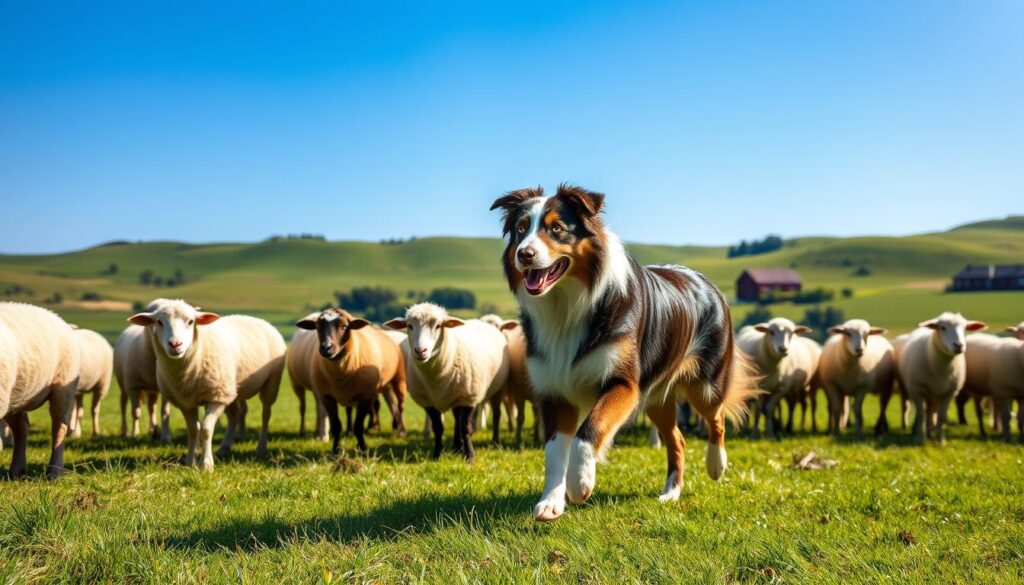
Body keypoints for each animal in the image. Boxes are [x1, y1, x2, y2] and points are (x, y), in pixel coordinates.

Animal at [0, 305, 80, 477]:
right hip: (15, 395)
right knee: (21, 428)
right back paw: (16, 471)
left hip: (63, 387)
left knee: (59, 428)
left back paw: (53, 473)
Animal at [131, 299, 288, 469]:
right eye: (159, 322)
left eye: (191, 322)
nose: (175, 344)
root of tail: (258, 319)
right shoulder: (186, 402)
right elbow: (193, 430)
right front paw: (190, 462)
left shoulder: (216, 398)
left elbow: (206, 429)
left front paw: (206, 465)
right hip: (230, 390)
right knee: (234, 415)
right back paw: (225, 447)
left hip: (270, 382)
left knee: (266, 415)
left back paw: (261, 448)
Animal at [385, 301, 509, 463]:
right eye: (409, 326)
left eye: (438, 326)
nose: (420, 351)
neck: (435, 377)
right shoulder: (428, 402)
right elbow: (438, 428)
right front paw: (437, 454)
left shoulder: (469, 398)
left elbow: (465, 428)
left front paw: (470, 456)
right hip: (456, 395)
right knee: (457, 419)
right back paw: (457, 447)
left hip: (495, 389)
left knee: (495, 415)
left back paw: (492, 442)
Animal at [491, 184, 757, 522]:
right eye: (521, 229)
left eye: (556, 229)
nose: (523, 254)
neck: (568, 305)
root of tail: (707, 282)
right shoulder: (554, 391)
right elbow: (553, 450)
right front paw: (551, 501)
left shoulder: (624, 383)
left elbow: (588, 431)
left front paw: (580, 483)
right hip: (655, 396)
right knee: (678, 439)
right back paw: (671, 493)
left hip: (705, 385)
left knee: (717, 418)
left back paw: (716, 464)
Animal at [897, 311, 983, 444]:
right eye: (942, 328)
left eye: (965, 328)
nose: (959, 345)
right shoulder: (916, 389)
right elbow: (921, 415)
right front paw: (920, 439)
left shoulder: (950, 392)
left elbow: (941, 417)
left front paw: (940, 440)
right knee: (917, 409)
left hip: (933, 394)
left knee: (930, 411)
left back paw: (929, 433)